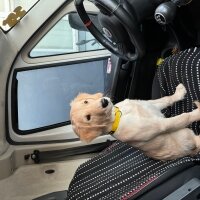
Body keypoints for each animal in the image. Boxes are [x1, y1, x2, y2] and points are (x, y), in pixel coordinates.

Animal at [69, 83, 200, 160]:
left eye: (86, 101)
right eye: (88, 117)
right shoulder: (160, 125)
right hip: (186, 135)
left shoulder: (150, 104)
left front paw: (179, 93)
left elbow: (166, 99)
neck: (119, 116)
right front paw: (197, 113)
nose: (104, 102)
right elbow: (184, 117)